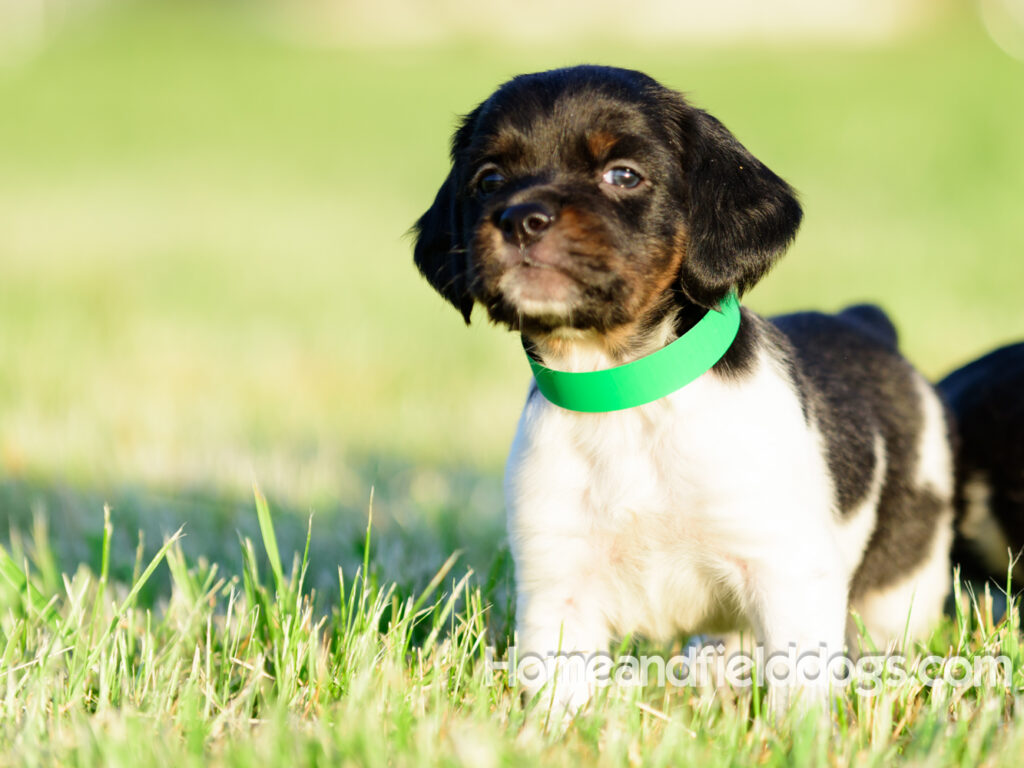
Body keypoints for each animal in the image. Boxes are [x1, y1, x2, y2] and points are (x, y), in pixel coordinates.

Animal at [411, 67, 954, 716]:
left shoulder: (785, 568)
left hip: (903, 582)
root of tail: (865, 320)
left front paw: (799, 733)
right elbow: (559, 696)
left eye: (623, 175)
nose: (520, 219)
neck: (624, 395)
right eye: (489, 179)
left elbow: (800, 687)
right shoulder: (558, 580)